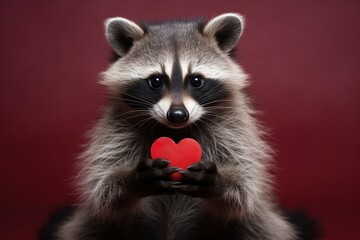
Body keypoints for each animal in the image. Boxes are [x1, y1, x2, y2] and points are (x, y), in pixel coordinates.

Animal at [56, 13, 298, 240]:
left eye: (196, 80)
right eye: (155, 81)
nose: (178, 115)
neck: (175, 131)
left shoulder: (234, 126)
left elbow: (244, 184)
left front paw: (218, 181)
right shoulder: (116, 127)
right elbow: (104, 185)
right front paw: (134, 178)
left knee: (257, 225)